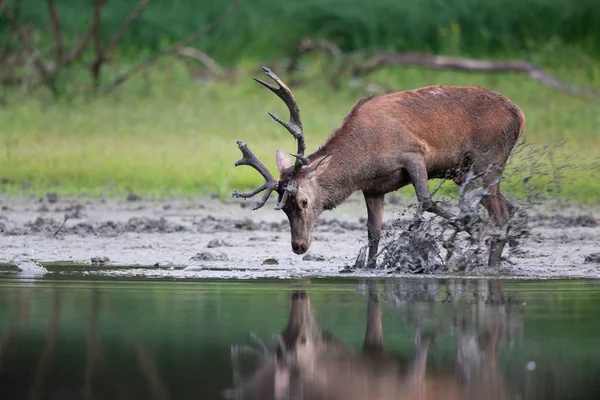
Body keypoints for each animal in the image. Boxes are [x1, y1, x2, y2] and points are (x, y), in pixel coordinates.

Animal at [232, 68, 524, 268]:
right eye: (283, 208)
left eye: (303, 201)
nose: (299, 246)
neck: (363, 161)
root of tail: (519, 114)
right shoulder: (373, 188)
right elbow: (373, 231)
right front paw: (369, 265)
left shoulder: (414, 152)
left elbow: (426, 201)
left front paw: (468, 231)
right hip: (466, 173)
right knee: (508, 207)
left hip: (488, 158)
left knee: (500, 214)